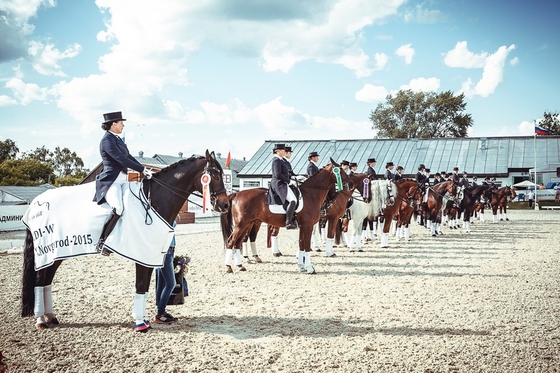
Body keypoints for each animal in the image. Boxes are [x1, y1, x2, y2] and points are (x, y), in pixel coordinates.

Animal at [20, 150, 229, 330]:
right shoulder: (141, 254)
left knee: (47, 280)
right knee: (40, 279)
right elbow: (140, 285)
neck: (153, 200)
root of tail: (37, 203)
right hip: (47, 252)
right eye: (215, 175)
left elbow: (145, 287)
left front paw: (144, 319)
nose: (225, 205)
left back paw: (50, 317)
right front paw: (140, 323)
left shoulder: (149, 255)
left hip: (57, 253)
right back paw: (41, 320)